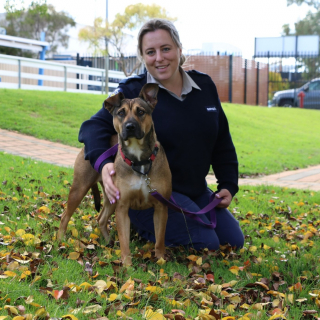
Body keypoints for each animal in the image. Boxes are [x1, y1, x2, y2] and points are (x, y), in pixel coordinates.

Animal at [58, 84, 171, 266]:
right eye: (121, 113)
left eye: (141, 112)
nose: (130, 126)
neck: (138, 159)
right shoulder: (122, 207)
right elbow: (124, 241)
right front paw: (127, 265)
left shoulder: (161, 207)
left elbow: (160, 239)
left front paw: (160, 261)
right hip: (79, 188)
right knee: (65, 216)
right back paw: (60, 240)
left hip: (110, 198)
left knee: (101, 219)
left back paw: (108, 242)